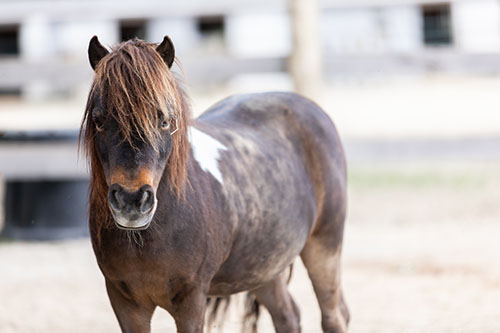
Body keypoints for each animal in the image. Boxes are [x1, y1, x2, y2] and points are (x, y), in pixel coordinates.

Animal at [80, 35, 350, 330]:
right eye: (99, 121)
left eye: (164, 121)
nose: (131, 201)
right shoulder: (125, 303)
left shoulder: (192, 300)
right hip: (264, 267)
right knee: (287, 315)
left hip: (324, 246)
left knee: (334, 315)